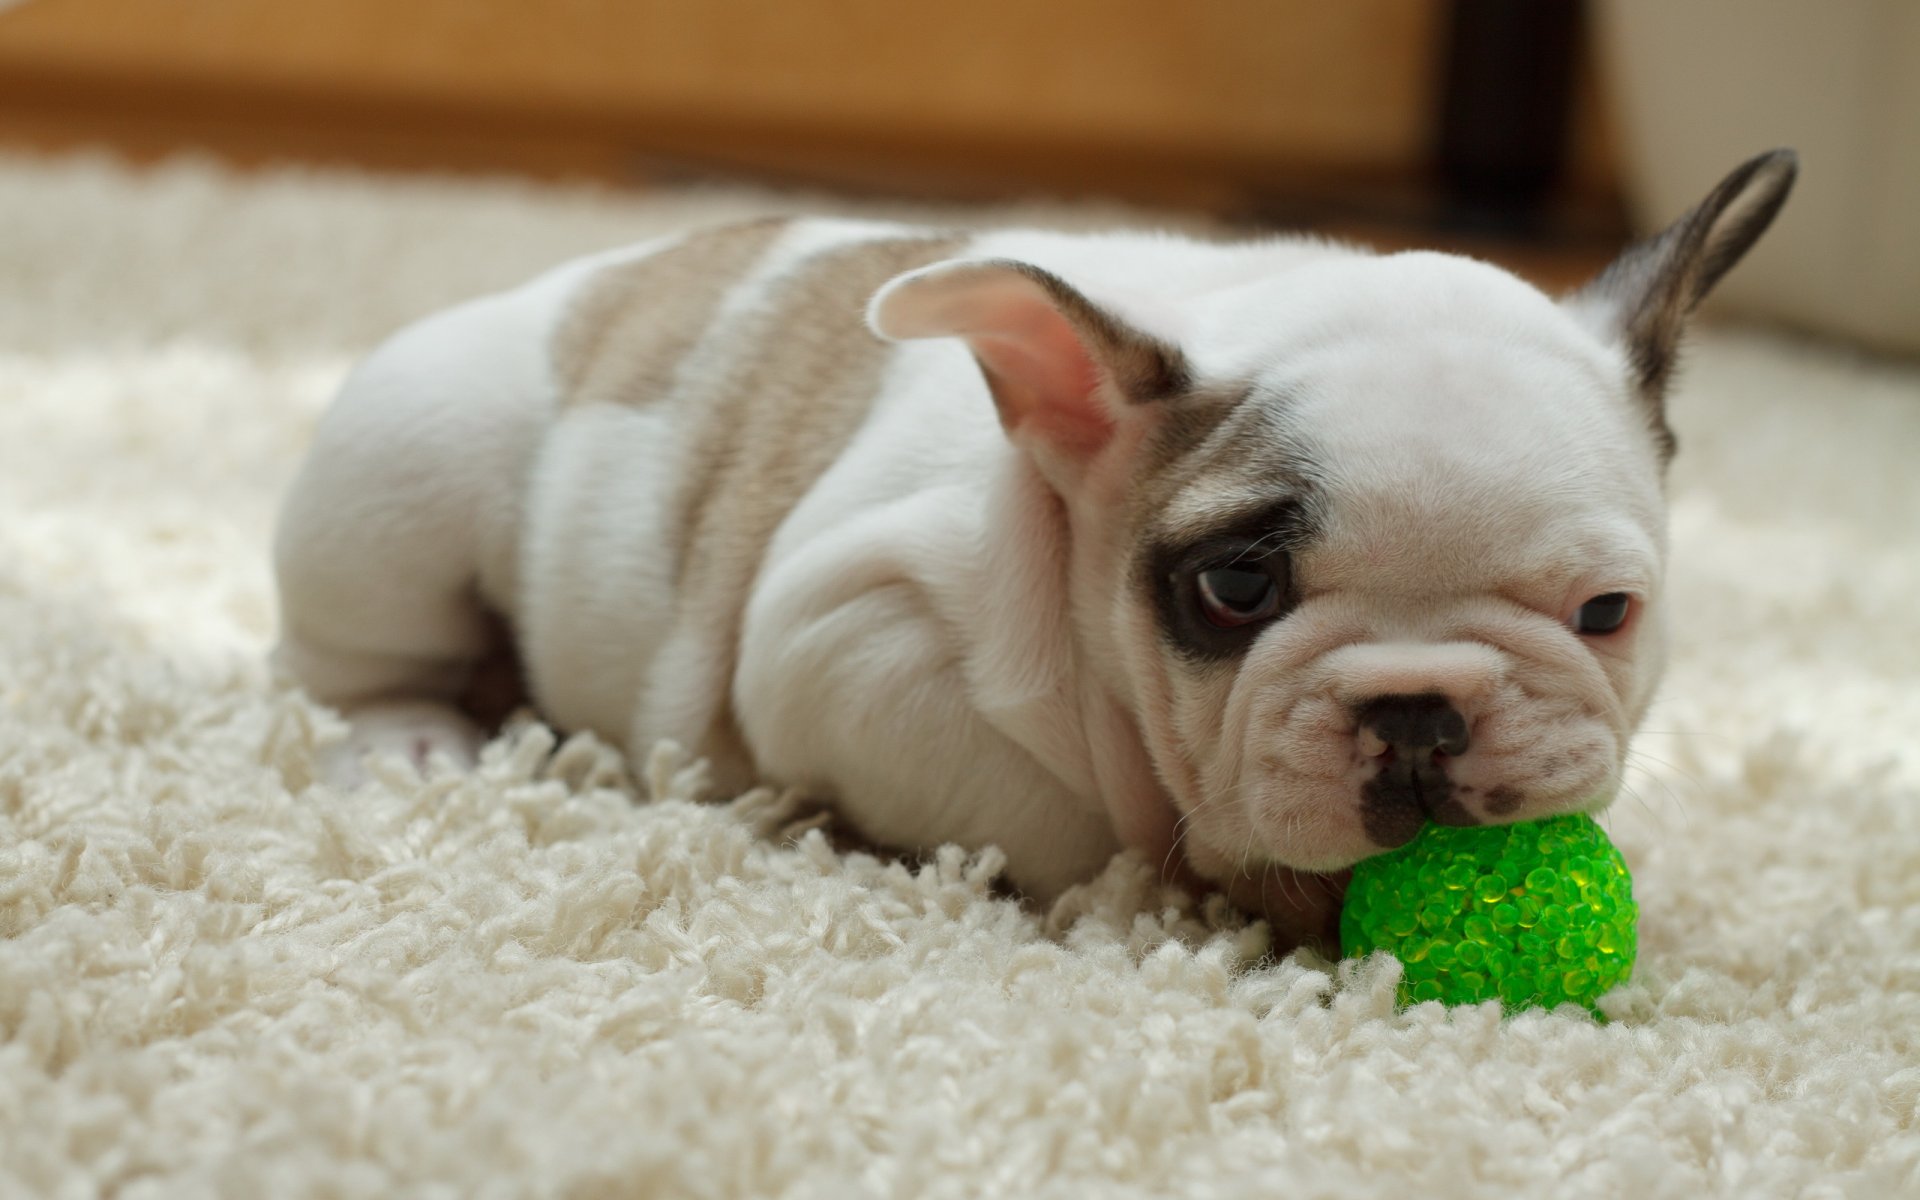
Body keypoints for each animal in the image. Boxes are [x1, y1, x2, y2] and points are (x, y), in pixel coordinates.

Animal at [274, 147, 1797, 944]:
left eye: (1607, 612)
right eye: (1235, 588)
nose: (1419, 713)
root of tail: (593, 279)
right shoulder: (845, 641)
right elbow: (1044, 801)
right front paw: (1199, 877)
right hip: (403, 476)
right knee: (349, 657)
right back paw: (418, 738)